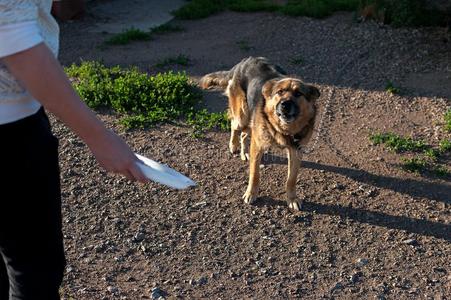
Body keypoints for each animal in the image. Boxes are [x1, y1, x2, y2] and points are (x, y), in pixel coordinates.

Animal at [201, 56, 322, 211]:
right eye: (280, 92)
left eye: (298, 93)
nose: (285, 104)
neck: (284, 129)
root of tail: (243, 62)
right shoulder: (258, 145)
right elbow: (254, 174)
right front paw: (251, 194)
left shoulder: (296, 151)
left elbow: (291, 179)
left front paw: (292, 198)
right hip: (243, 116)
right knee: (234, 125)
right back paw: (233, 145)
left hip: (251, 122)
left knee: (244, 135)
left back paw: (245, 152)